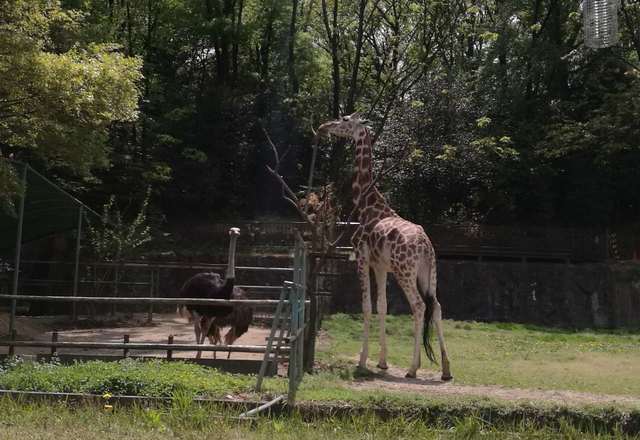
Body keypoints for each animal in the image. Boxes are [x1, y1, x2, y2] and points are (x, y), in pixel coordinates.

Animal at [318, 111, 452, 380]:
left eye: (345, 120)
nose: (324, 126)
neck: (367, 205)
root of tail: (425, 246)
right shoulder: (380, 266)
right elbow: (382, 306)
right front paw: (382, 361)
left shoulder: (361, 259)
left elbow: (367, 306)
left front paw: (362, 361)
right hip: (429, 273)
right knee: (436, 306)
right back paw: (445, 370)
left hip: (405, 271)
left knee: (419, 306)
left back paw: (412, 368)